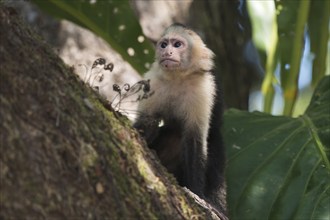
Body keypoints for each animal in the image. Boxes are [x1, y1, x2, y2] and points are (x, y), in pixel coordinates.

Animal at [133, 23, 226, 213]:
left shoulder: (203, 89)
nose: (167, 52)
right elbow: (147, 122)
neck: (178, 78)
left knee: (214, 144)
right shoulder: (154, 81)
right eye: (163, 44)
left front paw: (196, 193)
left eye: (177, 45)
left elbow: (194, 140)